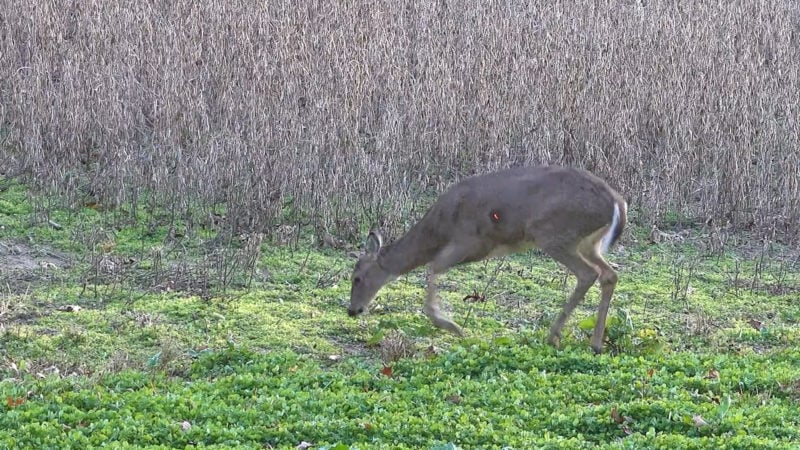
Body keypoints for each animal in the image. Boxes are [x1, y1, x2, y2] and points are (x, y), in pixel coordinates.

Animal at [346, 165, 628, 356]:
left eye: (357, 277)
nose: (352, 310)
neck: (438, 229)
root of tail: (617, 204)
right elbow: (434, 269)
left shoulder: (471, 240)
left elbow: (433, 268)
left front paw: (450, 325)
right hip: (589, 243)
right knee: (609, 274)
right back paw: (595, 343)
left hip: (555, 232)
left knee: (588, 273)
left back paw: (554, 335)